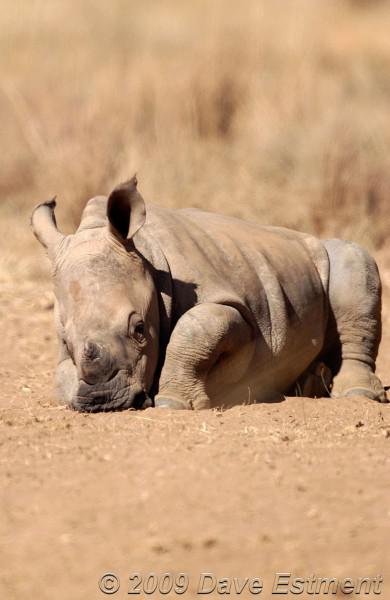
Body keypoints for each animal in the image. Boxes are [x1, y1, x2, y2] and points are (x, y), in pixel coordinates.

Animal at [32, 176, 388, 410]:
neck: (145, 254)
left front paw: (173, 404)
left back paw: (357, 395)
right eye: (65, 342)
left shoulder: (236, 308)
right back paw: (313, 384)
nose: (102, 402)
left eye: (139, 330)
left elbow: (196, 329)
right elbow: (60, 376)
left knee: (354, 261)